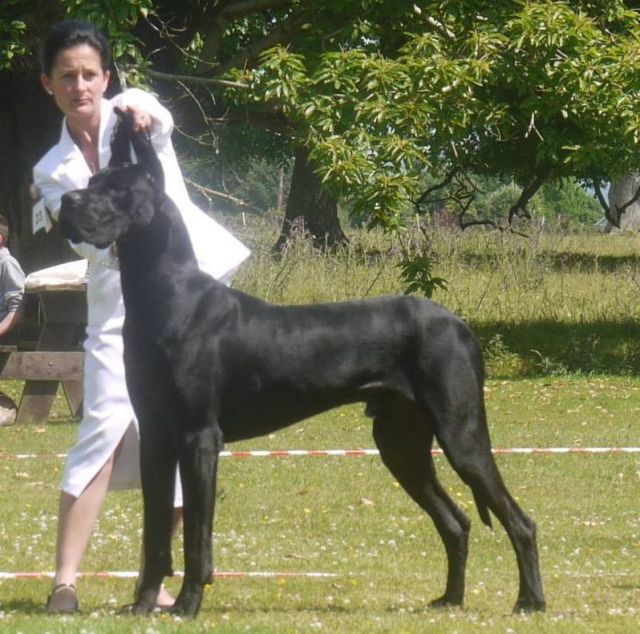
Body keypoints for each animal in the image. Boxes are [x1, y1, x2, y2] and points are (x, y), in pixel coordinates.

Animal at [58, 112, 545, 617]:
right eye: (91, 182)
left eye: (118, 190)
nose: (67, 201)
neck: (167, 294)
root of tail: (460, 323)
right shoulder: (156, 437)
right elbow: (155, 533)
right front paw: (142, 606)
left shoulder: (199, 437)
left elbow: (195, 535)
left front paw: (187, 604)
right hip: (400, 442)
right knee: (457, 521)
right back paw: (450, 598)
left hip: (460, 433)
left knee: (519, 520)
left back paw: (529, 600)